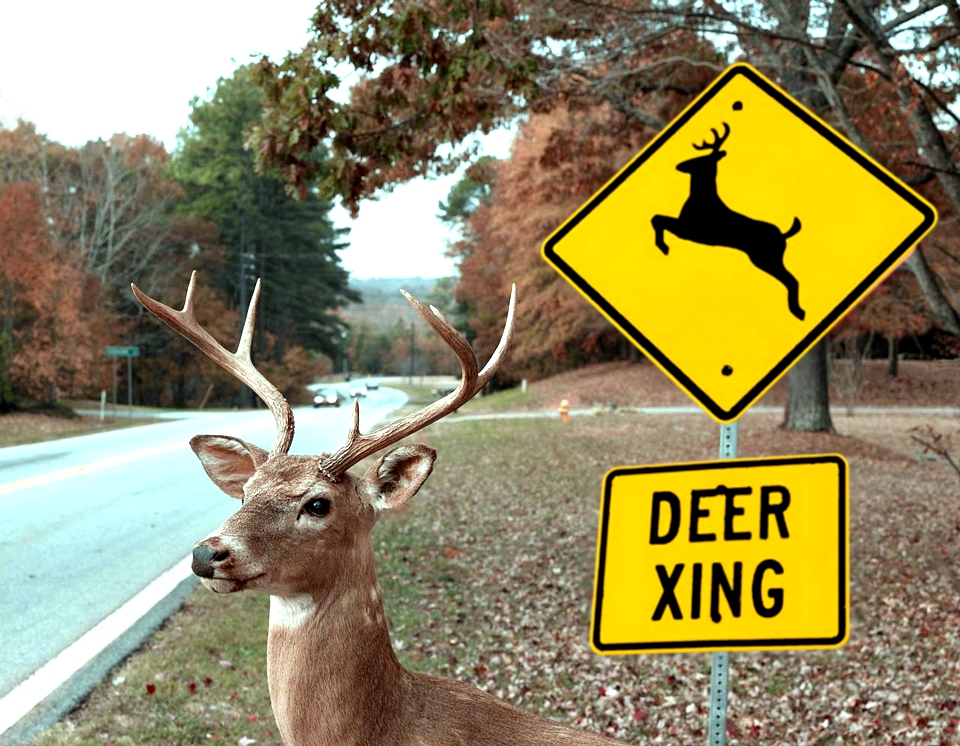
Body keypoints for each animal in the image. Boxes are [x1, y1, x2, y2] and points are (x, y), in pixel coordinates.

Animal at [651, 122, 806, 321]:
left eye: (700, 158)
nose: (679, 165)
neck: (700, 198)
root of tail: (784, 235)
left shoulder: (688, 230)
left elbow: (657, 219)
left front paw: (663, 247)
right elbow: (657, 218)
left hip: (766, 258)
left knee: (792, 280)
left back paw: (798, 312)